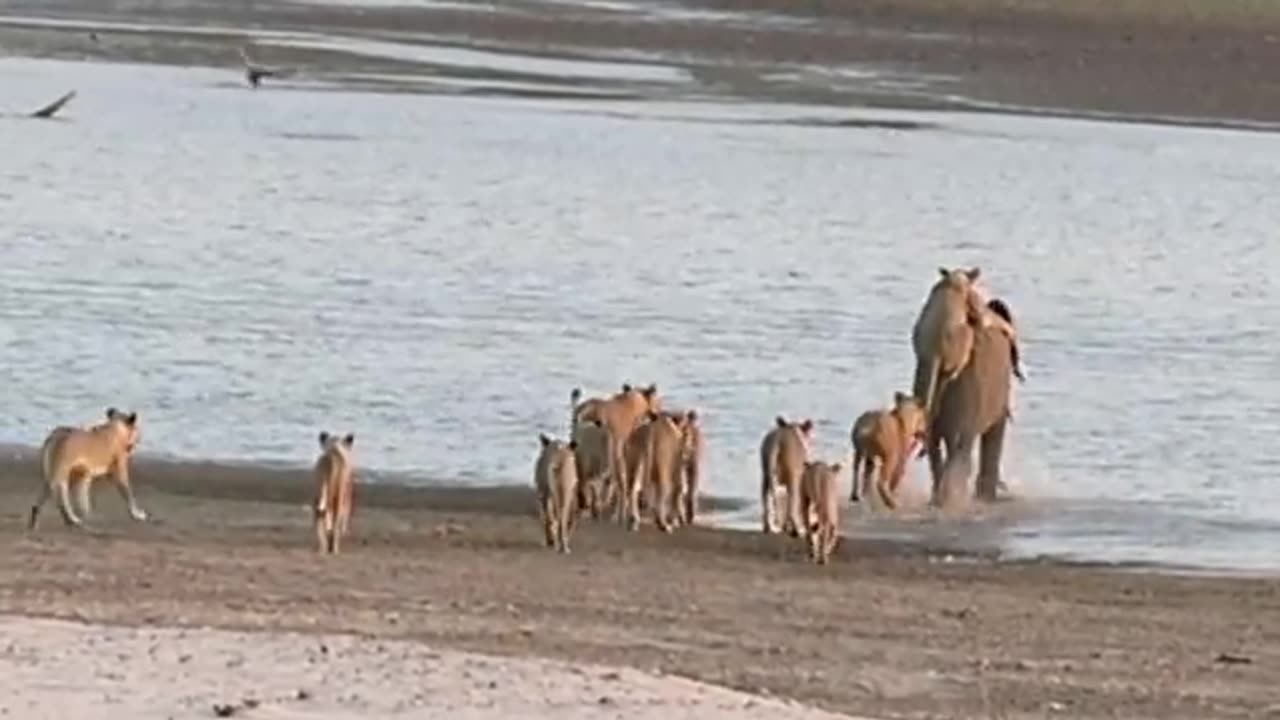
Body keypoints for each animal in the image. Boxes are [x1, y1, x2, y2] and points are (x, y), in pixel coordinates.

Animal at [576, 384, 665, 517]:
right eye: (657, 401)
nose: (656, 416)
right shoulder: (624, 450)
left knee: (586, 479)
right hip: (608, 454)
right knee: (600, 479)